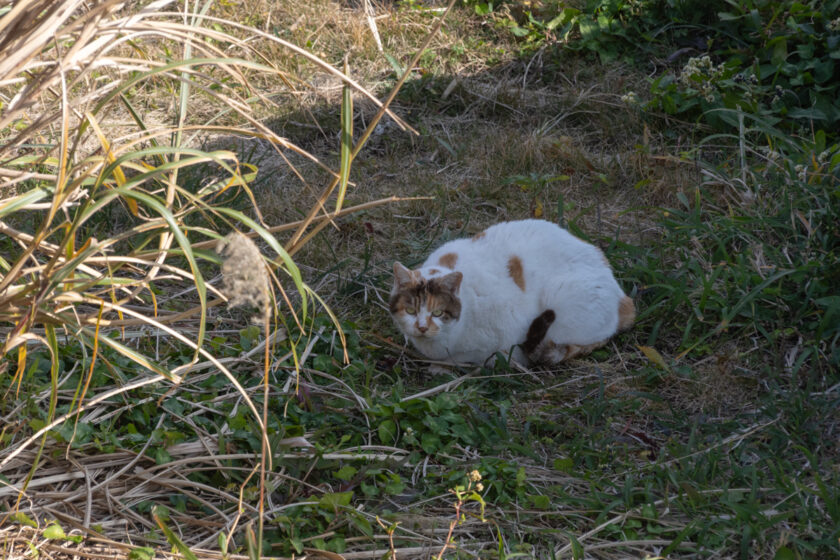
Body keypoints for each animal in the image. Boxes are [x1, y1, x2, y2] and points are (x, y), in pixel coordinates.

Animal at [390, 219, 632, 368]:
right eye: (410, 310)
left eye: (438, 312)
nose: (422, 327)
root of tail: (624, 300)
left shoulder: (507, 328)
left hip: (562, 302)